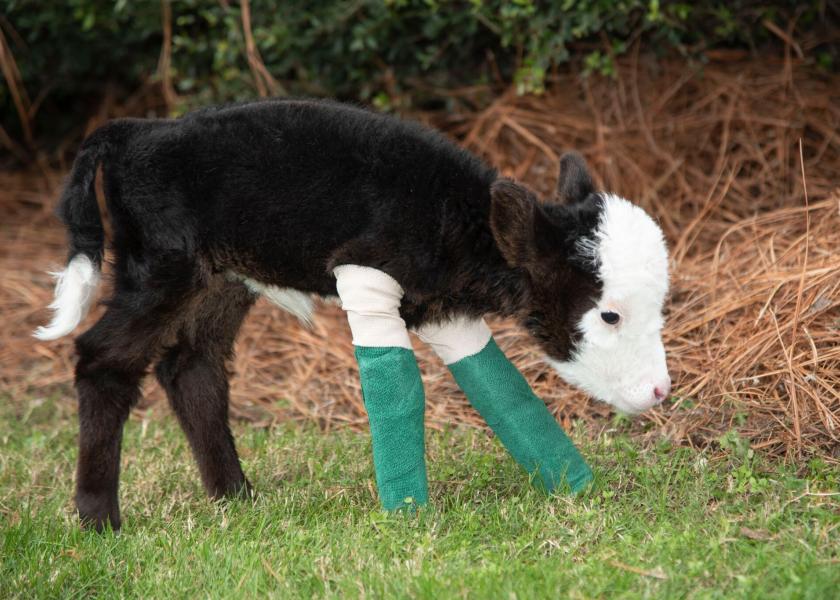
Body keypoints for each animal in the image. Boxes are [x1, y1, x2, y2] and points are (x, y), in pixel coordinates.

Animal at [36, 98, 672, 528]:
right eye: (609, 315)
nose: (662, 391)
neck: (457, 220)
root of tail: (137, 130)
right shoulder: (366, 273)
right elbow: (400, 386)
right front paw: (408, 514)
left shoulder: (440, 307)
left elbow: (499, 386)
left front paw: (574, 484)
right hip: (162, 267)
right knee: (104, 359)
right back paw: (98, 518)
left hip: (221, 277)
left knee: (192, 366)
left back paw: (235, 496)